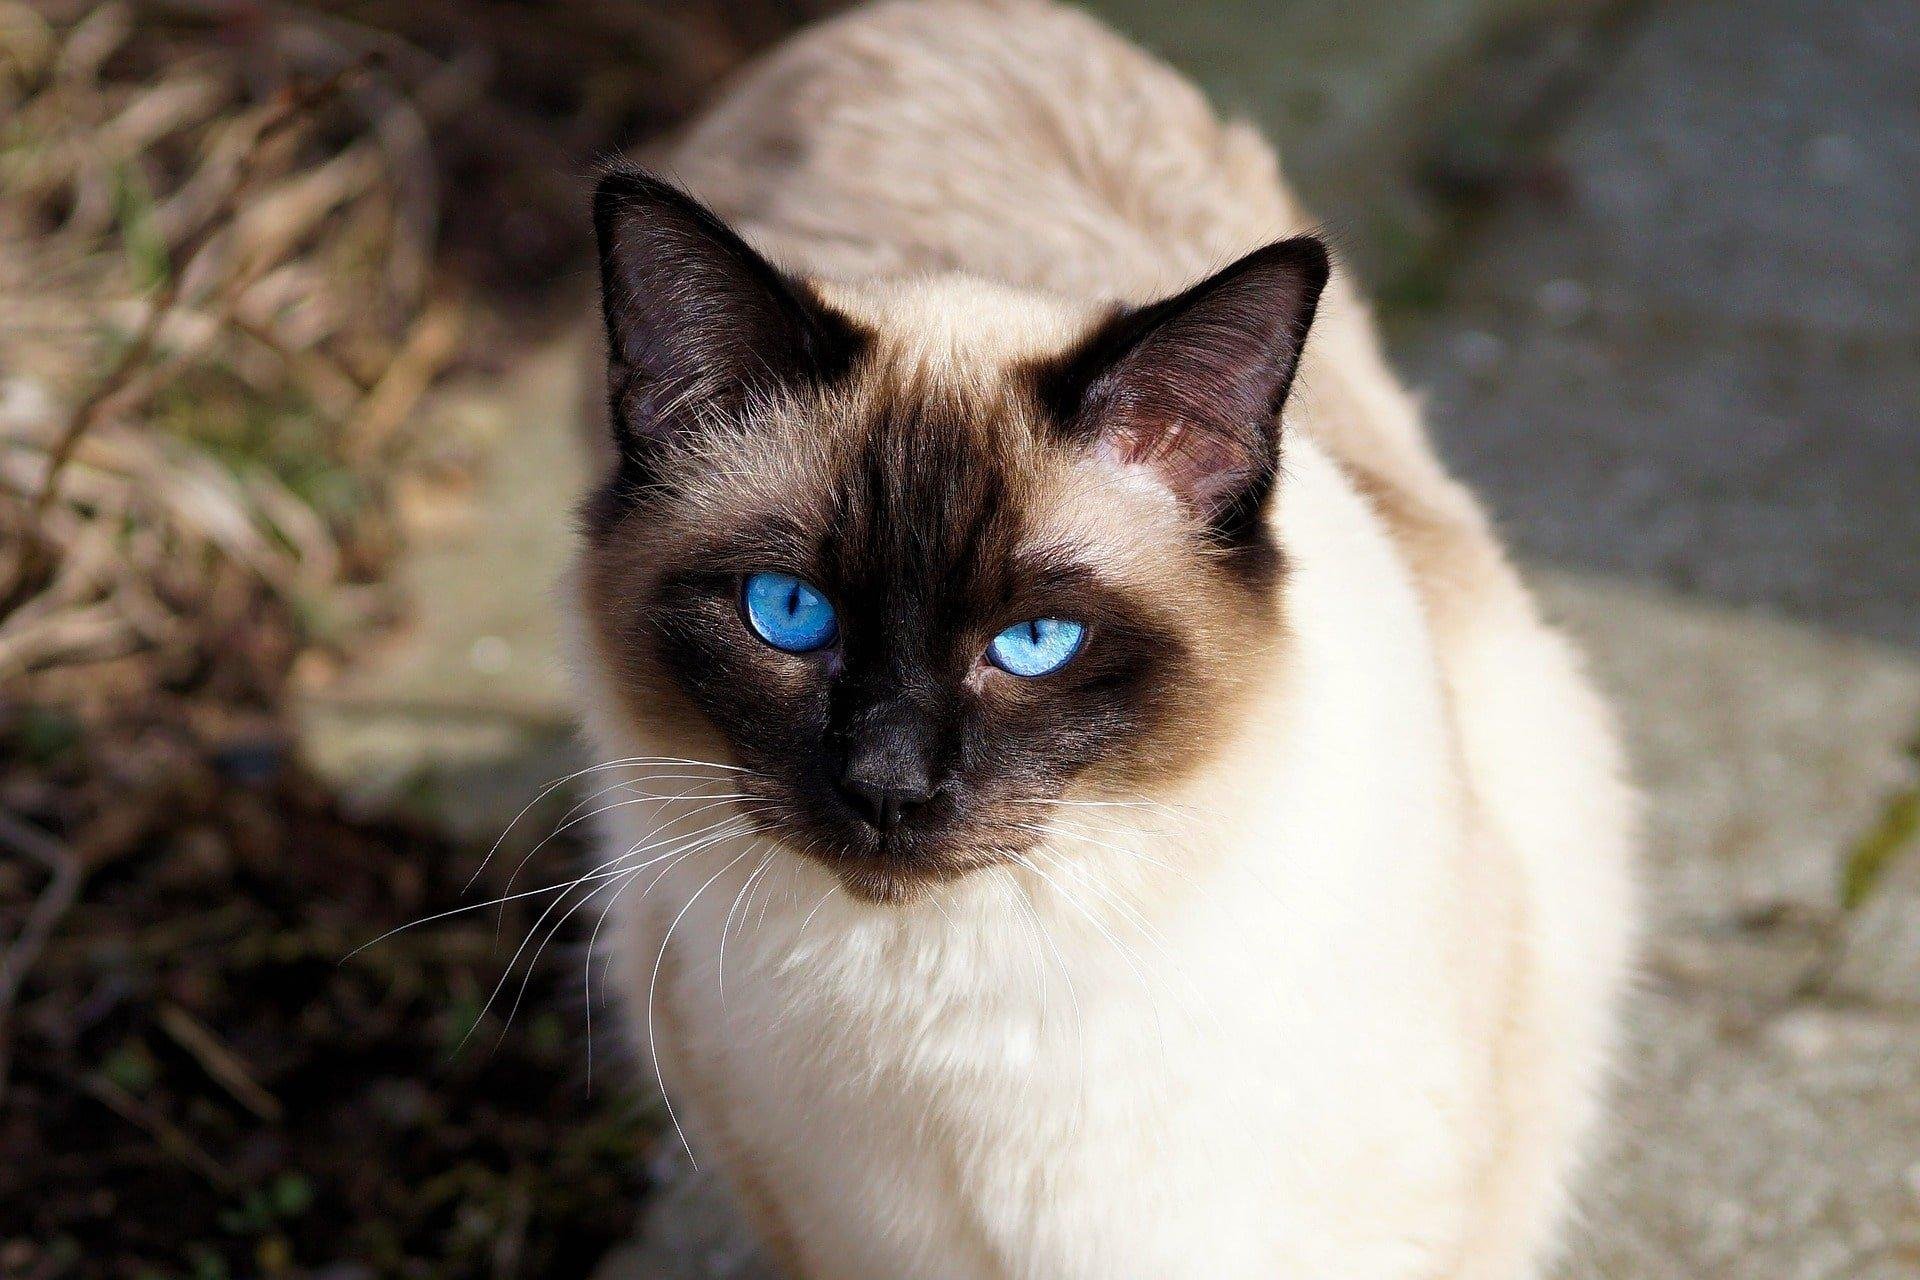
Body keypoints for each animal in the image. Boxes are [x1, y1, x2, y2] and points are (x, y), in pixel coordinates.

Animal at [564, 5, 1635, 1274]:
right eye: (788, 612)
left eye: (1036, 640)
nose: (887, 785)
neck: (968, 1004)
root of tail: (913, 19)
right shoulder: (839, 1232)